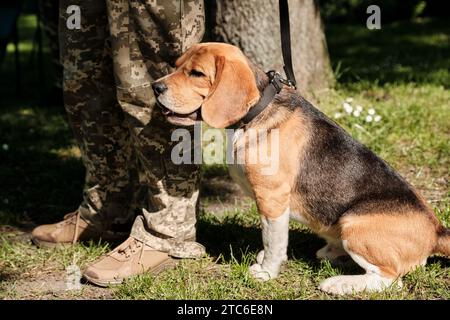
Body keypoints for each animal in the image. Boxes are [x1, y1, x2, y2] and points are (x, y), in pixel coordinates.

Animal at [152, 42, 450, 296]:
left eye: (197, 73)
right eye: (176, 65)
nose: (155, 87)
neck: (257, 113)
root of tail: (436, 231)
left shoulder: (271, 199)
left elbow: (273, 241)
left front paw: (266, 272)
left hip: (354, 223)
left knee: (391, 280)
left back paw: (339, 284)